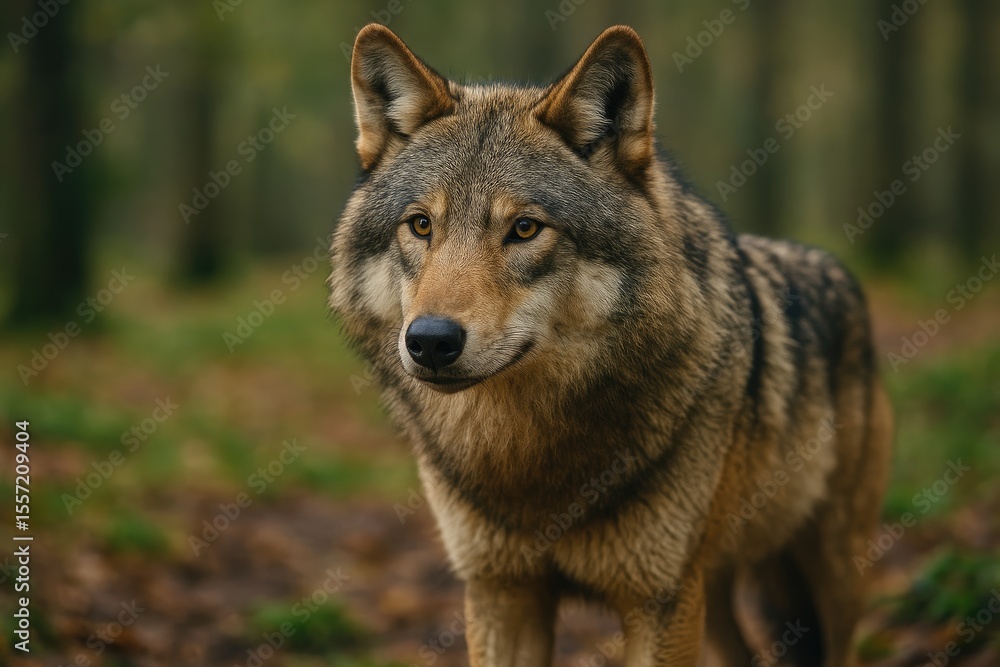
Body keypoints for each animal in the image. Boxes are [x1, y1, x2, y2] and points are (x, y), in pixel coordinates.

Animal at [329, 23, 893, 667]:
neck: (528, 462)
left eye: (525, 228)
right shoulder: (501, 591)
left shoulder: (659, 602)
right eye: (421, 225)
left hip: (830, 577)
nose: (429, 340)